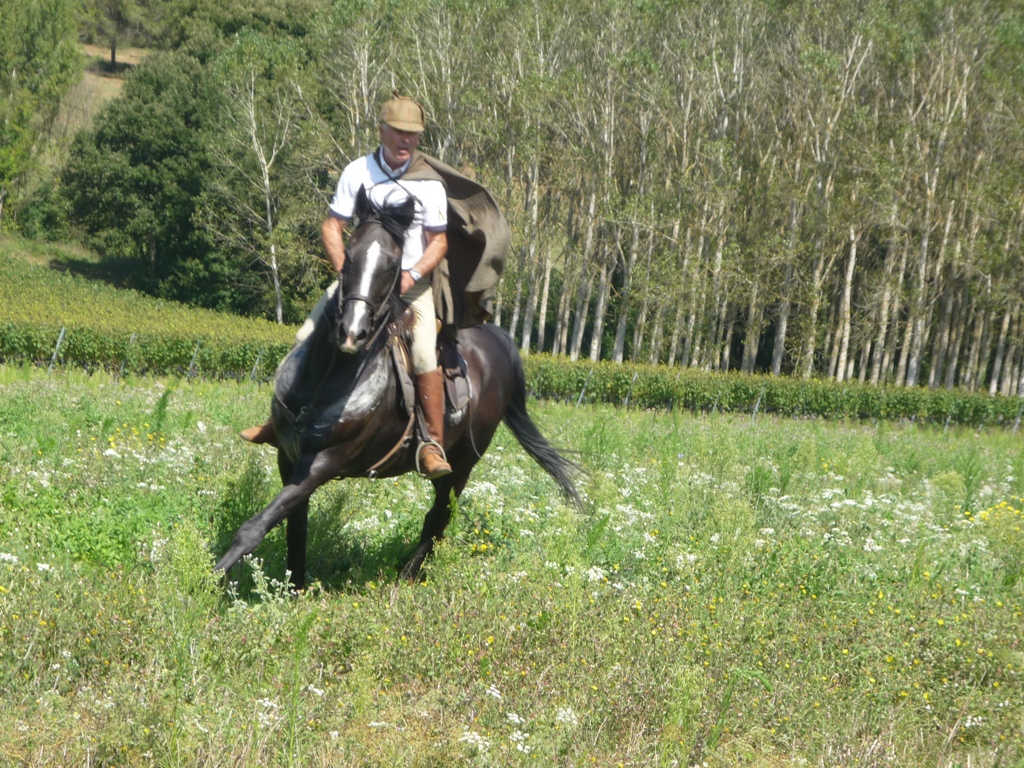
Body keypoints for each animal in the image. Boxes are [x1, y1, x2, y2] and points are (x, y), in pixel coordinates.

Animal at [214, 187, 581, 587]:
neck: (326, 380)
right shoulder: (288, 455)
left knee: (438, 519)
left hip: (462, 465)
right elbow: (295, 527)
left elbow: (254, 527)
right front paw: (293, 586)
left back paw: (407, 576)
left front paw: (210, 578)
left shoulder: (324, 463)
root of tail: (498, 338)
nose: (352, 332)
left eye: (392, 265)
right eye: (349, 257)